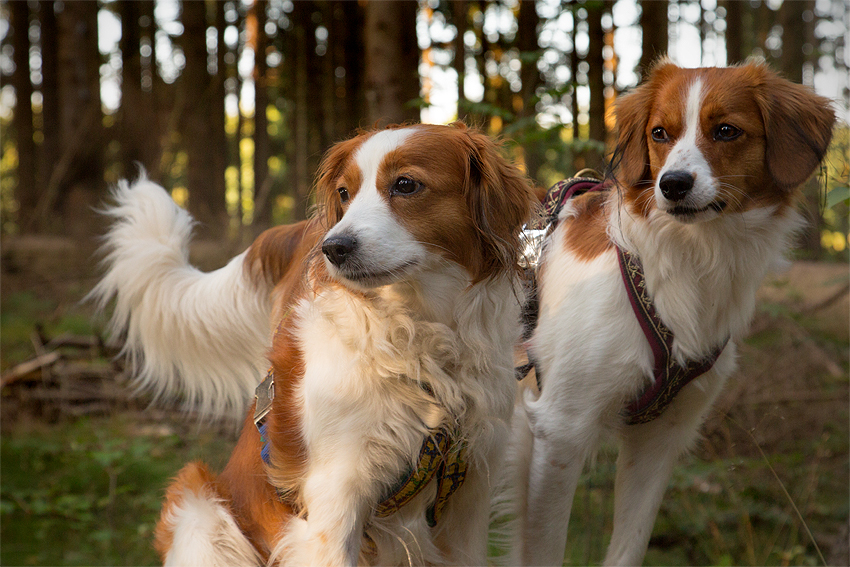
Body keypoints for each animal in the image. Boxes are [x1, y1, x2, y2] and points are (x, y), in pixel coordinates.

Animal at [89, 122, 532, 564]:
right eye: (344, 193)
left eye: (406, 185)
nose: (334, 248)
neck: (419, 336)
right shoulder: (335, 500)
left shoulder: (470, 497)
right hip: (201, 509)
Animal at [506, 60, 832, 564]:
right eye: (659, 133)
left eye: (726, 131)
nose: (673, 184)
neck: (686, 258)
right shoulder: (559, 428)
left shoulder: (661, 438)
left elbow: (629, 547)